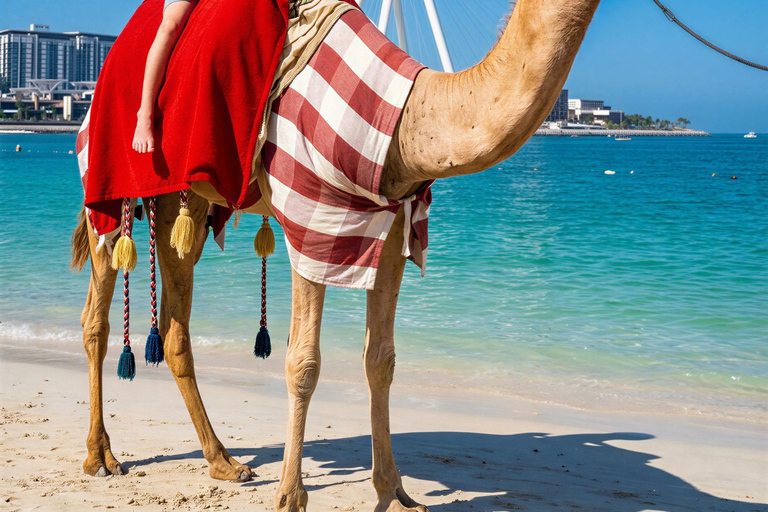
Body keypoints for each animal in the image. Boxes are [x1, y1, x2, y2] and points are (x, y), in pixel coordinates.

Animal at [71, 1, 601, 510]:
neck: (404, 124)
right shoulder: (310, 220)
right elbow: (302, 362)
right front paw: (290, 498)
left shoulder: (394, 227)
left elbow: (381, 359)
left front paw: (394, 493)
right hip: (106, 186)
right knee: (96, 312)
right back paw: (101, 456)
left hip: (187, 205)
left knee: (176, 323)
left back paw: (224, 461)